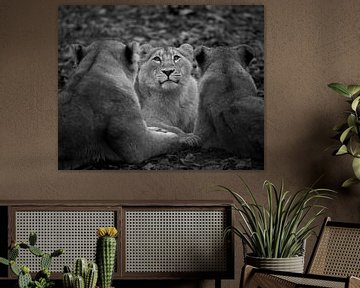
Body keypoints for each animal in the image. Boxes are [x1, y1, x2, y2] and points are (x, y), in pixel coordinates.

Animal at [59, 40, 200, 169]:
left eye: (176, 58)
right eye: (157, 59)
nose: (168, 71)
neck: (175, 95)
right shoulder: (140, 145)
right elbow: (173, 135)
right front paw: (188, 137)